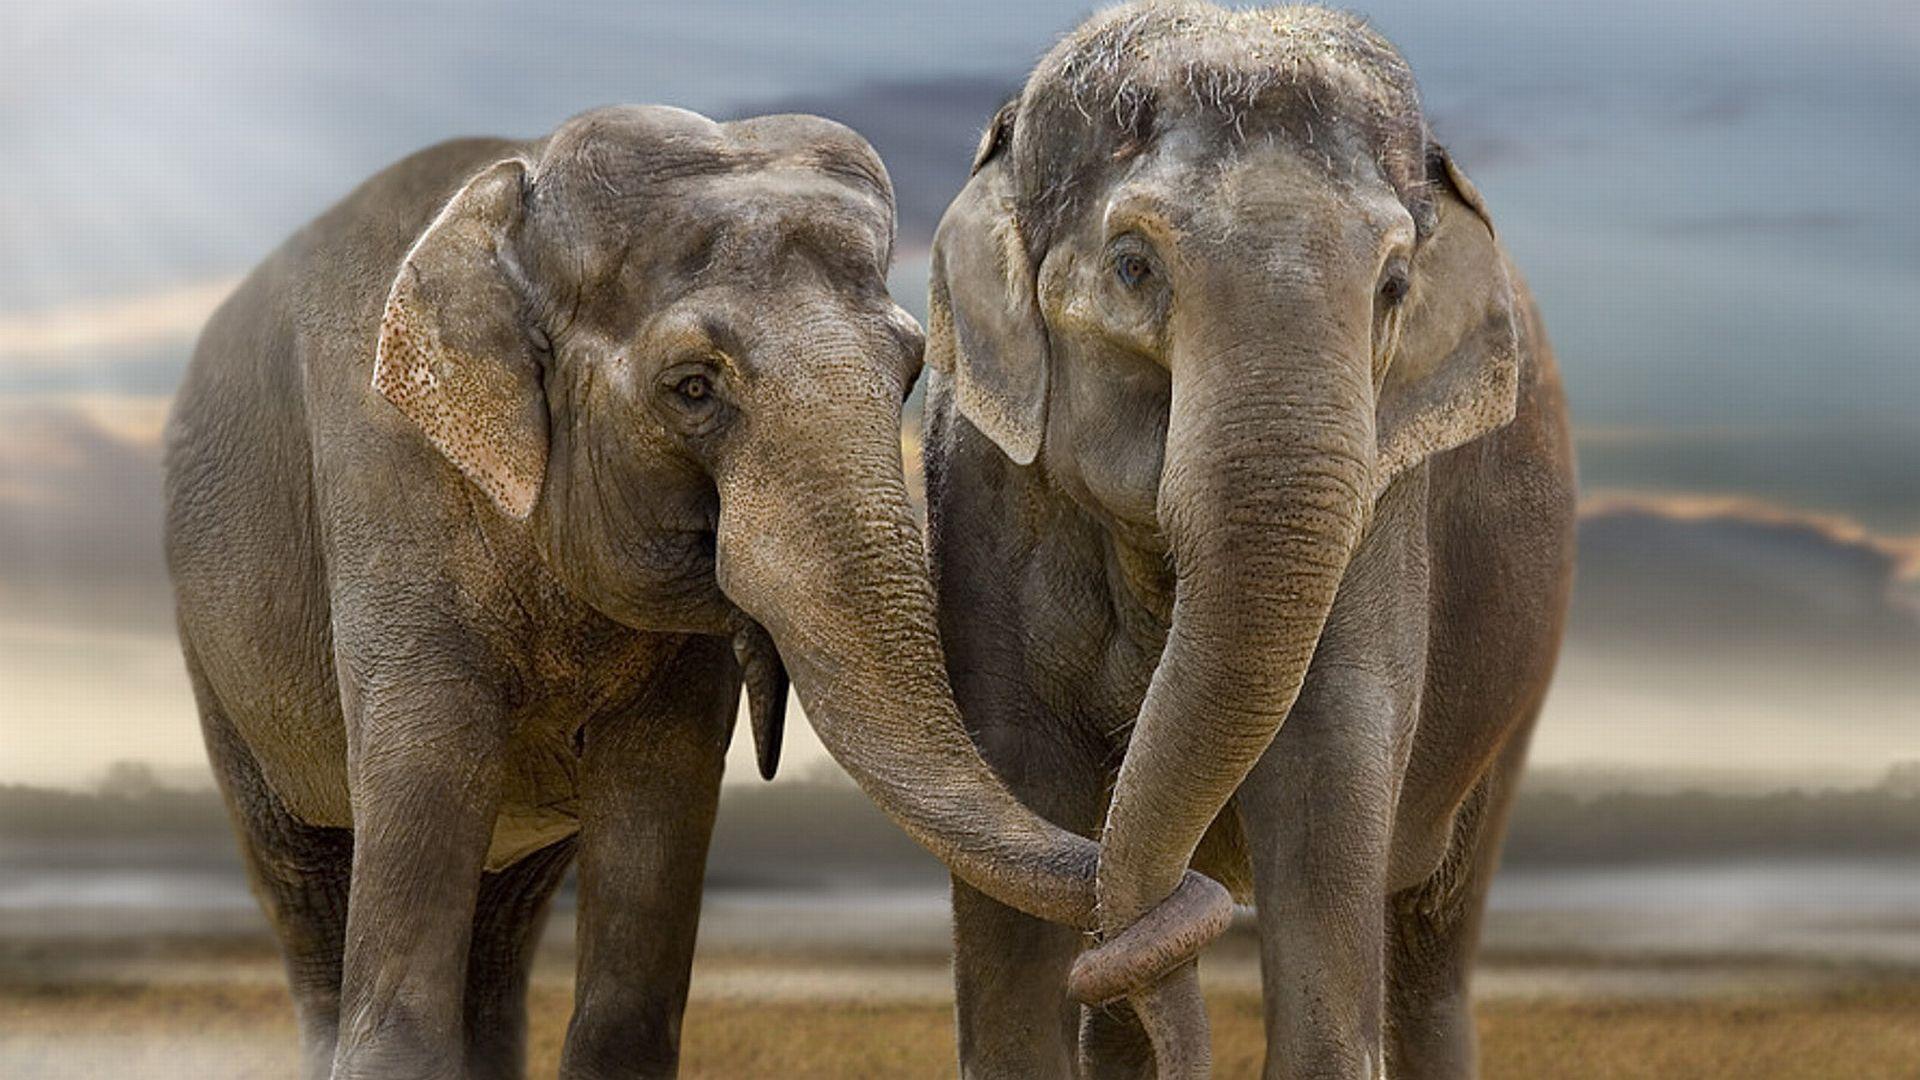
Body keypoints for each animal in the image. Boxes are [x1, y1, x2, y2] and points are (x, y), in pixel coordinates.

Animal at [162, 105, 1227, 1080]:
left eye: (911, 369)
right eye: (691, 388)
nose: (1179, 910)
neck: (520, 198)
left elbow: (660, 801)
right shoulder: (387, 487)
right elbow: (429, 762)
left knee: (501, 930)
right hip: (220, 668)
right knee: (304, 883)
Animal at [922, 5, 1576, 1078]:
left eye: (1394, 285)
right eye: (1134, 266)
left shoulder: (1385, 505)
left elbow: (1326, 770)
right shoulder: (982, 489)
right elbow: (1016, 783)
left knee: (1434, 939)